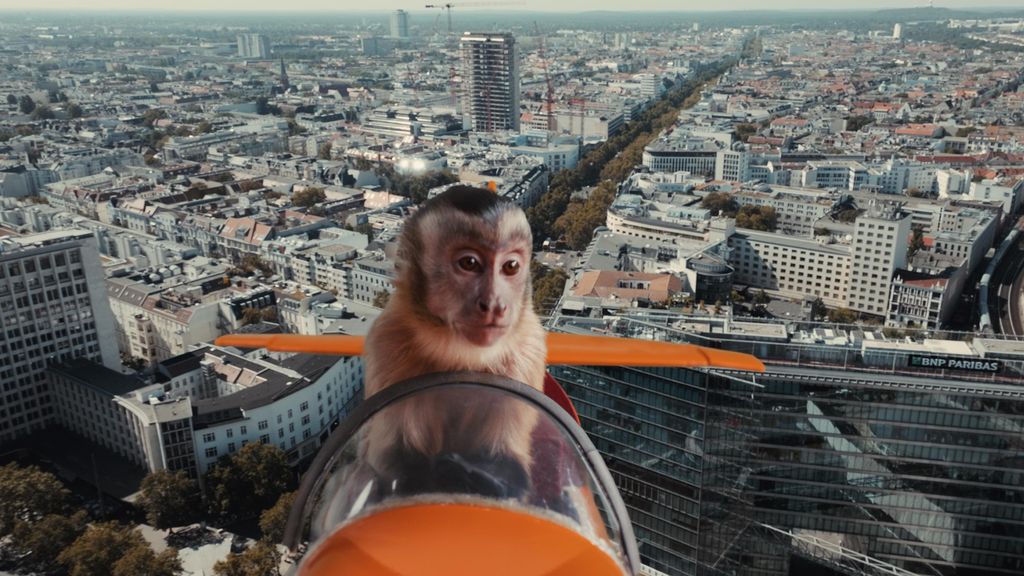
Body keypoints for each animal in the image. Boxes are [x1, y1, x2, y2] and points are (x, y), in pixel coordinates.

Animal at [361, 185, 547, 497]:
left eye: (510, 266)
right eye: (469, 263)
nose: (495, 304)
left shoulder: (527, 353)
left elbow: (509, 468)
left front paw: (466, 474)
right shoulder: (387, 341)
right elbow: (388, 460)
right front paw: (441, 474)